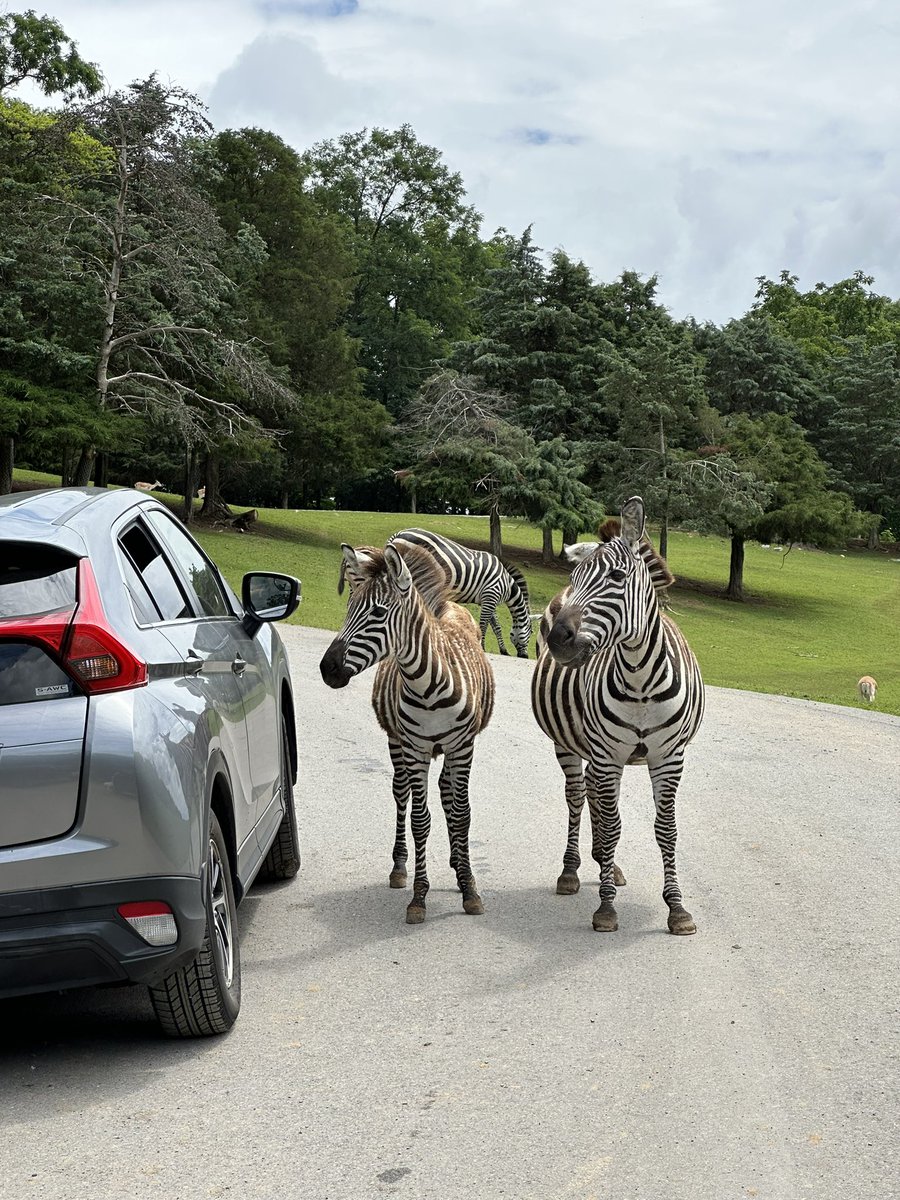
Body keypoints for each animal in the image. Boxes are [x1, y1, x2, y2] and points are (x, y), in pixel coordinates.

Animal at [320, 539, 495, 924]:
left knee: (449, 795)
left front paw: (470, 888)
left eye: (377, 613)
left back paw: (458, 863)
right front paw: (418, 896)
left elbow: (462, 813)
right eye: (349, 608)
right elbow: (420, 819)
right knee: (402, 794)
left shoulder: (463, 746)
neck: (428, 685)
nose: (328, 669)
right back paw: (401, 868)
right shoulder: (415, 747)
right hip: (397, 742)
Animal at [388, 528, 533, 658]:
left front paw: (503, 650)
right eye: (531, 632)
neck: (507, 585)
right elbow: (484, 624)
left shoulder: (488, 599)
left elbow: (496, 626)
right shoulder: (491, 595)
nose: (525, 656)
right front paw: (481, 647)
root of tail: (398, 534)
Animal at [531, 496, 704, 935]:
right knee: (578, 795)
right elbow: (612, 827)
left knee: (594, 794)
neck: (640, 680)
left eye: (617, 576)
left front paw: (677, 908)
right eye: (576, 576)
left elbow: (666, 830)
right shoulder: (609, 754)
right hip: (569, 743)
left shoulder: (668, 757)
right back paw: (572, 871)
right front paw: (606, 907)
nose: (558, 639)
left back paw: (607, 866)